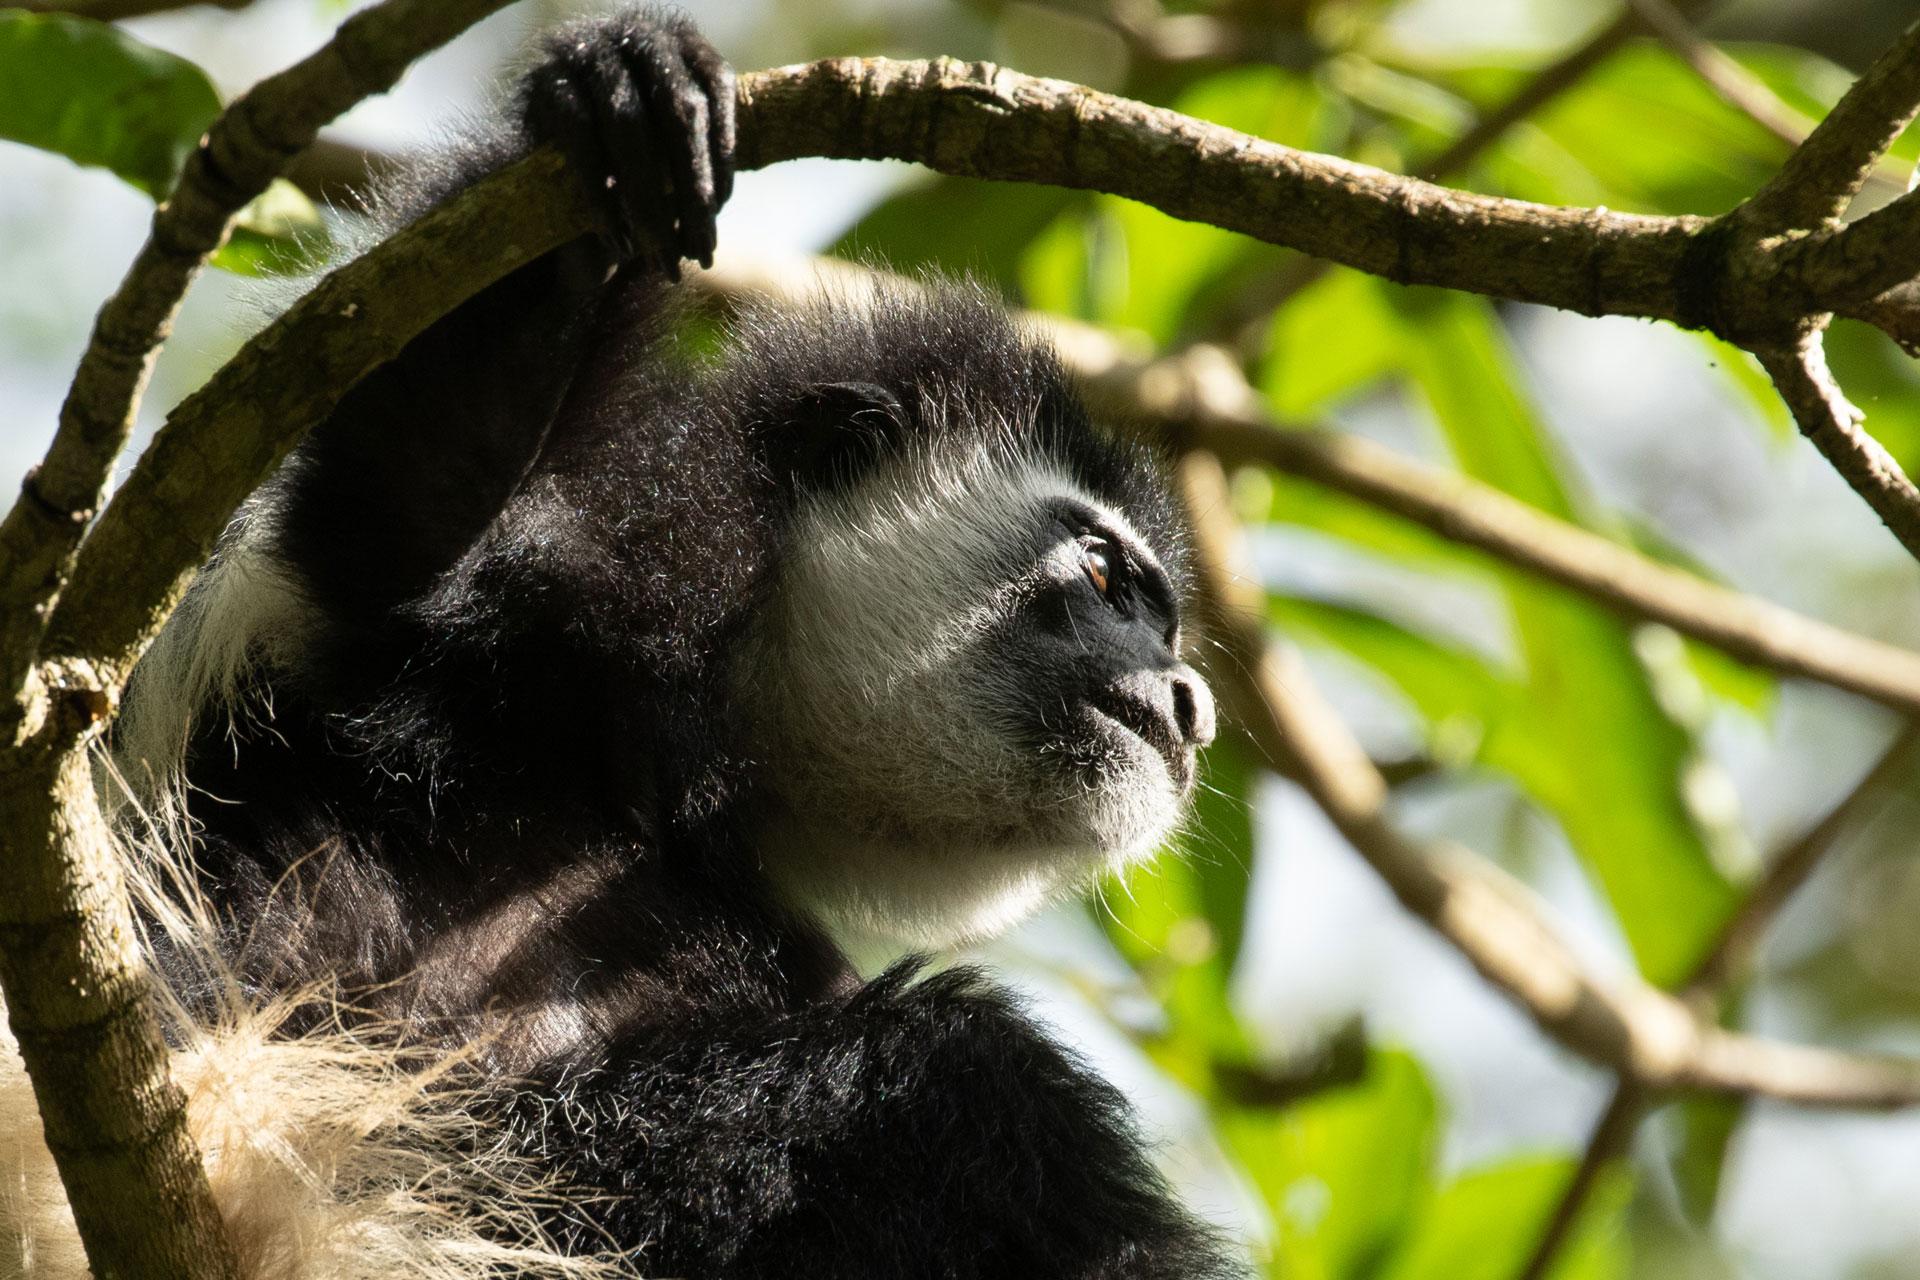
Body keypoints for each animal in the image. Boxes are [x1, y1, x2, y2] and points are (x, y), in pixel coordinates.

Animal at [123, 12, 1228, 1280]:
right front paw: (617, 114)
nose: (1188, 700)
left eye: (1165, 622)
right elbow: (402, 500)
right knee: (950, 1071)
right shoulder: (574, 575)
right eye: (1104, 575)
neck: (701, 742)